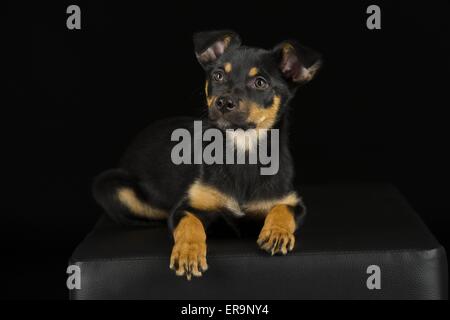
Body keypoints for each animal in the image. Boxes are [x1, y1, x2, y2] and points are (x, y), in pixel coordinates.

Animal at [93, 30, 322, 280]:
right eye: (218, 76)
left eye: (260, 83)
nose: (223, 102)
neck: (242, 150)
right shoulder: (185, 207)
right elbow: (190, 225)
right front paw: (188, 252)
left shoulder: (293, 202)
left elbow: (282, 209)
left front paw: (277, 232)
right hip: (109, 185)